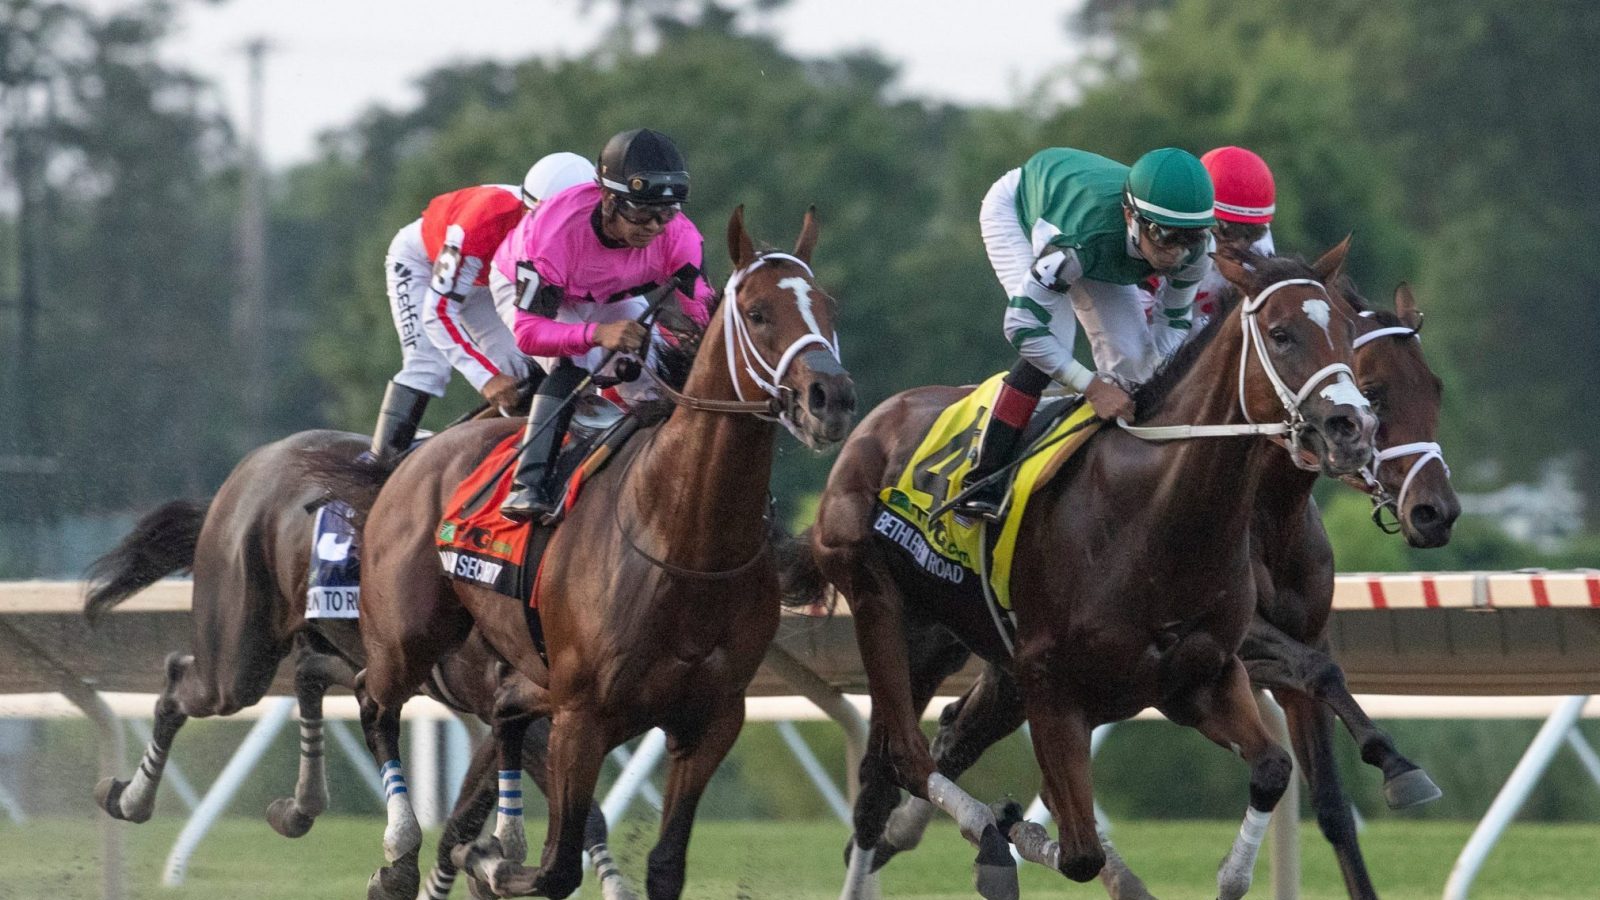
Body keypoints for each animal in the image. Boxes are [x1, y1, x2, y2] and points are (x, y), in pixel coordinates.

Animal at [348, 206, 856, 900]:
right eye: (756, 312)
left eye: (826, 307)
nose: (831, 398)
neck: (684, 538)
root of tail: (414, 455)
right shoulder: (583, 718)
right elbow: (555, 866)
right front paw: (489, 861)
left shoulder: (711, 719)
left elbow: (663, 866)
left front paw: (492, 852)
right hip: (408, 635)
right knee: (374, 700)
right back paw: (401, 853)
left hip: (514, 664)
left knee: (502, 715)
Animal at [802, 242, 1377, 900]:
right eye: (1281, 334)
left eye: (1346, 332)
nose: (1354, 428)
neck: (1157, 514)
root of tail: (875, 422)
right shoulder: (1051, 684)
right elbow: (1077, 851)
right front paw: (1009, 831)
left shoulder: (1198, 676)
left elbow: (1274, 768)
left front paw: (1230, 874)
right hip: (879, 602)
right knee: (904, 756)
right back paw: (982, 832)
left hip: (972, 658)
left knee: (904, 768)